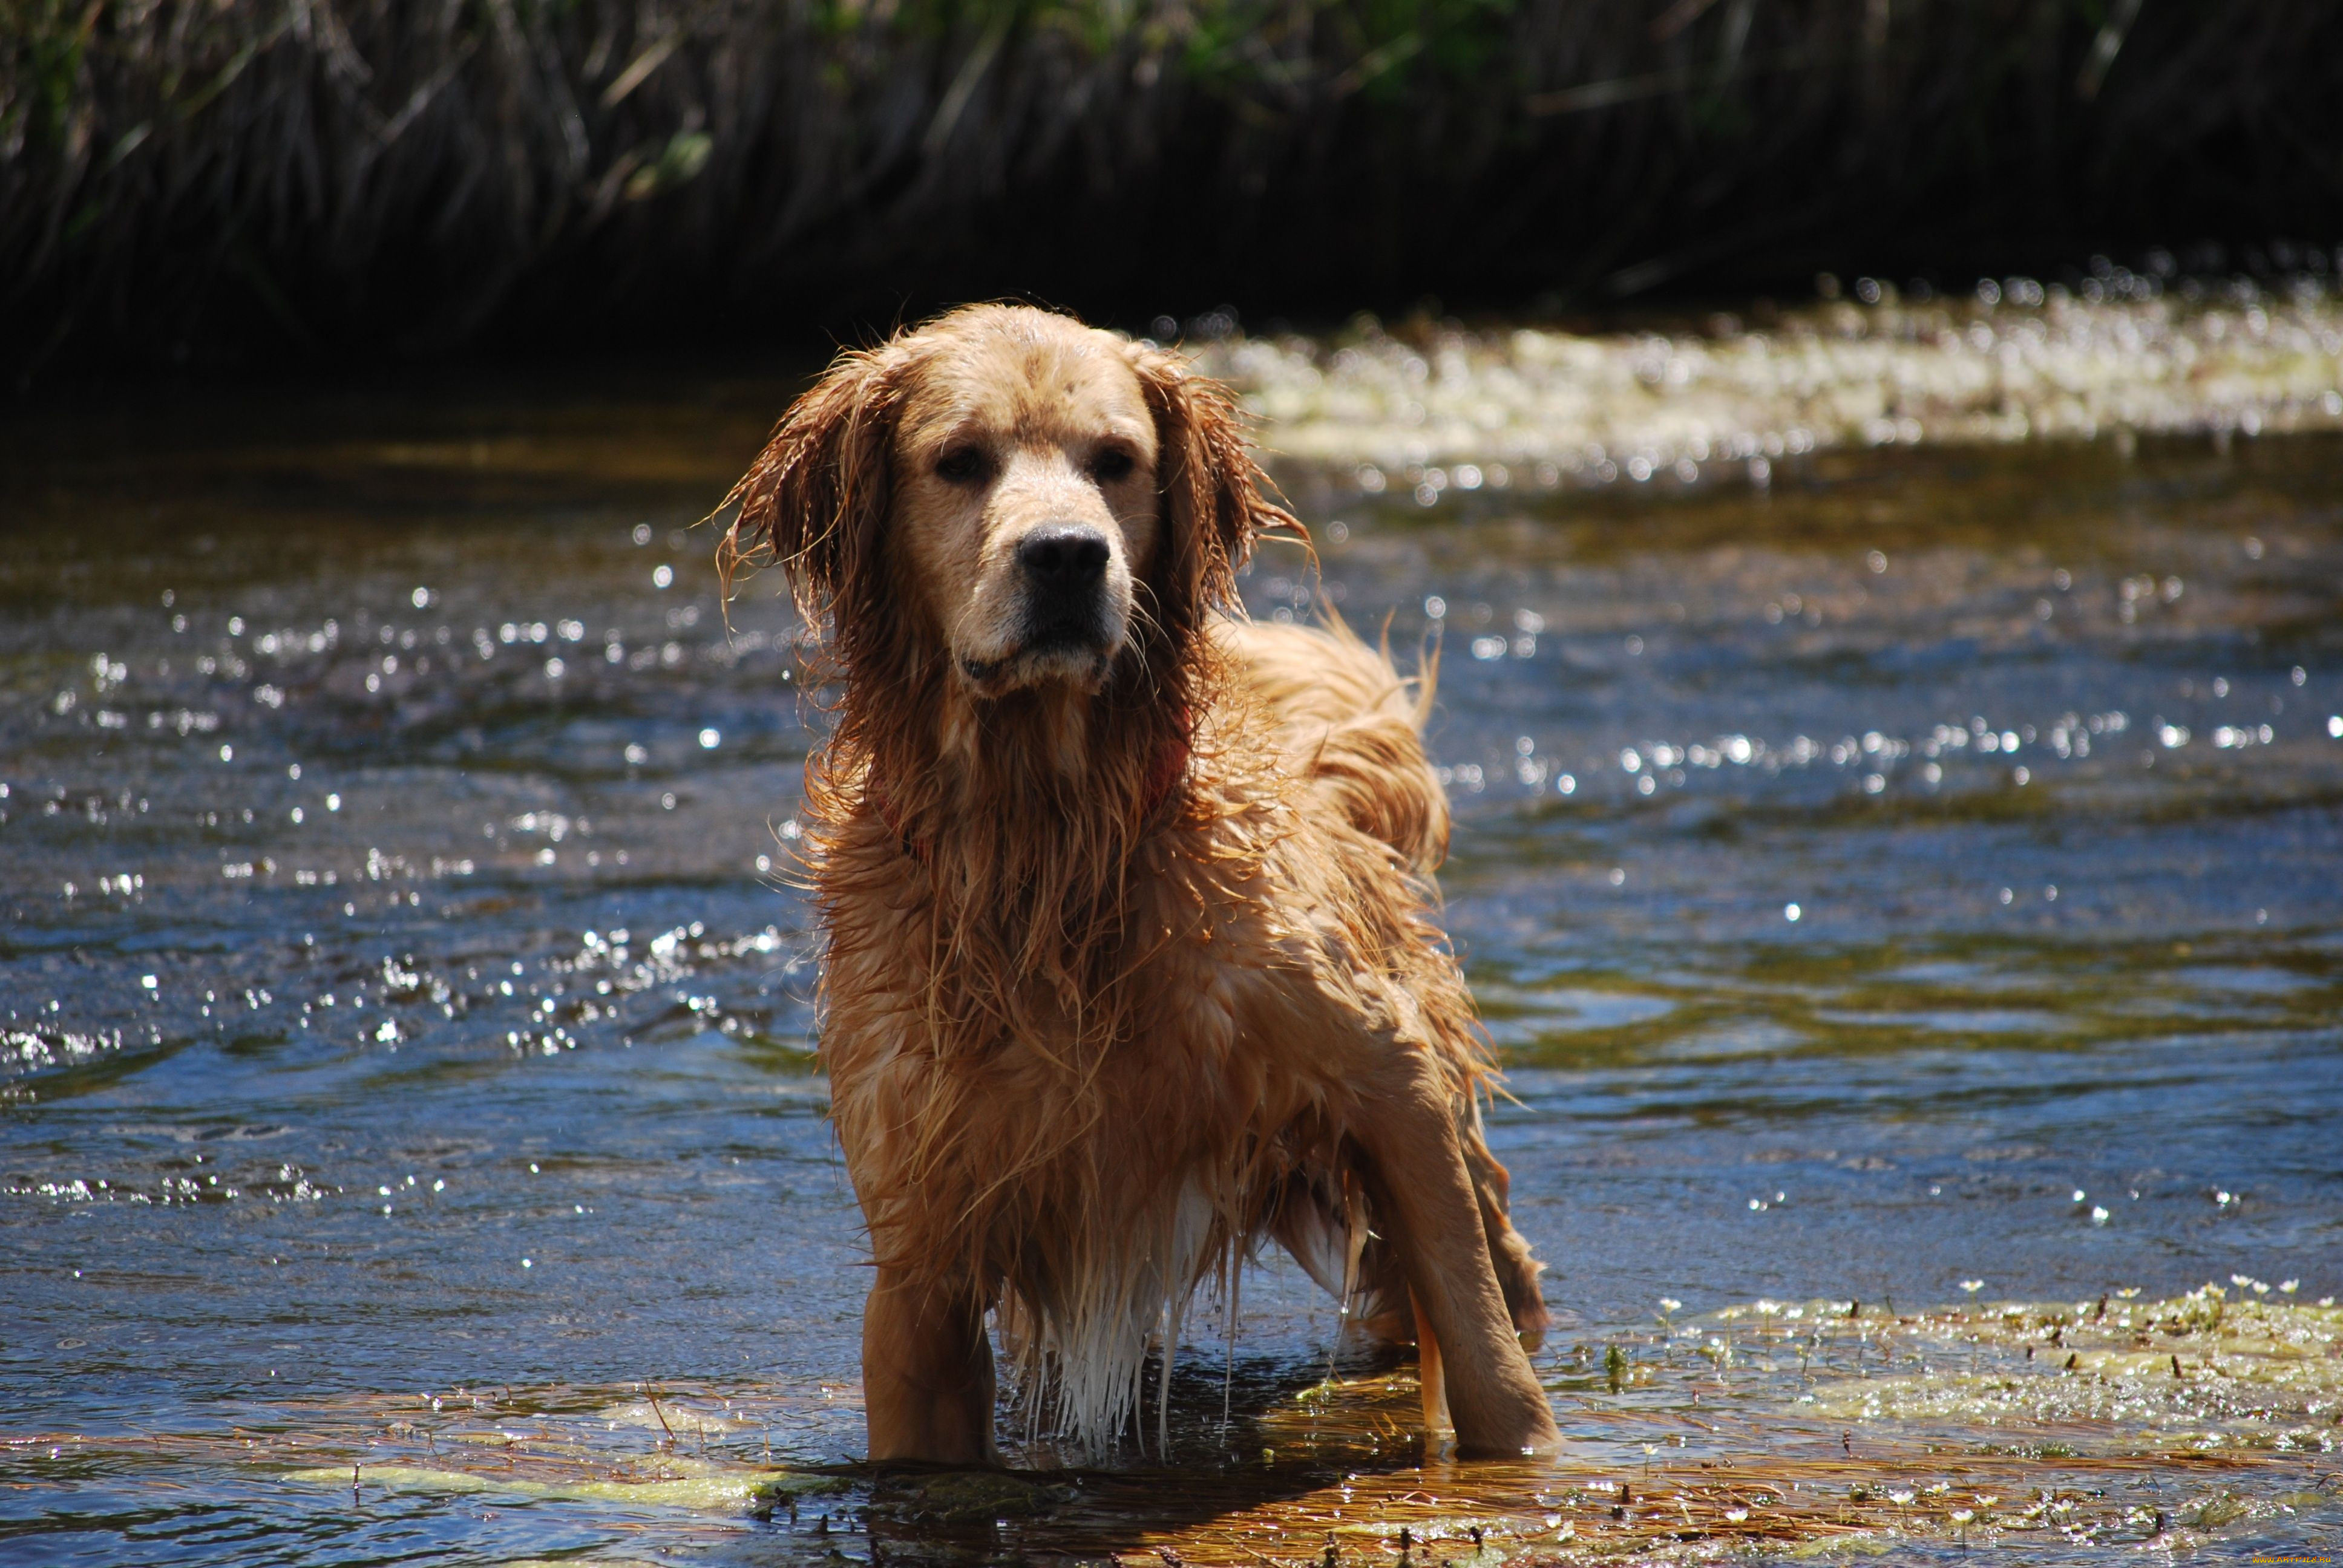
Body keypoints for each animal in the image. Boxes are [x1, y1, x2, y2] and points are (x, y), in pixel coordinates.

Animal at [712, 309, 1556, 1472]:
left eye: (1116, 460)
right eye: (958, 461)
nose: (1069, 556)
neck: (1049, 849)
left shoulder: (1389, 1078)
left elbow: (1483, 1353)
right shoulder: (921, 1248)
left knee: (1490, 1263)